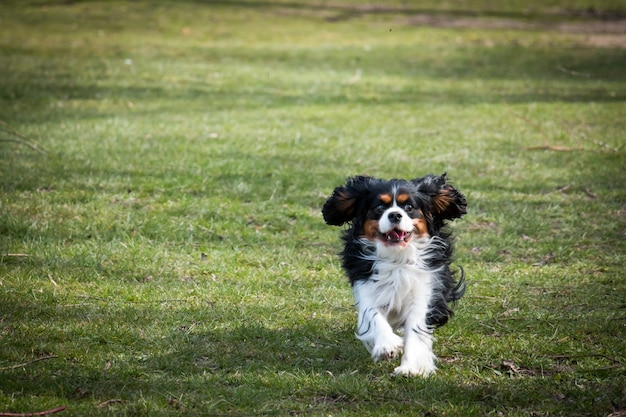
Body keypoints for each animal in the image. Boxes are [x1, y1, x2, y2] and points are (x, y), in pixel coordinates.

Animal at [322, 171, 464, 376]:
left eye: (409, 207)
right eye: (380, 207)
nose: (395, 214)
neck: (397, 258)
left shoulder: (423, 290)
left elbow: (415, 328)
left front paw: (411, 367)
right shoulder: (366, 286)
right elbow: (373, 315)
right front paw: (387, 345)